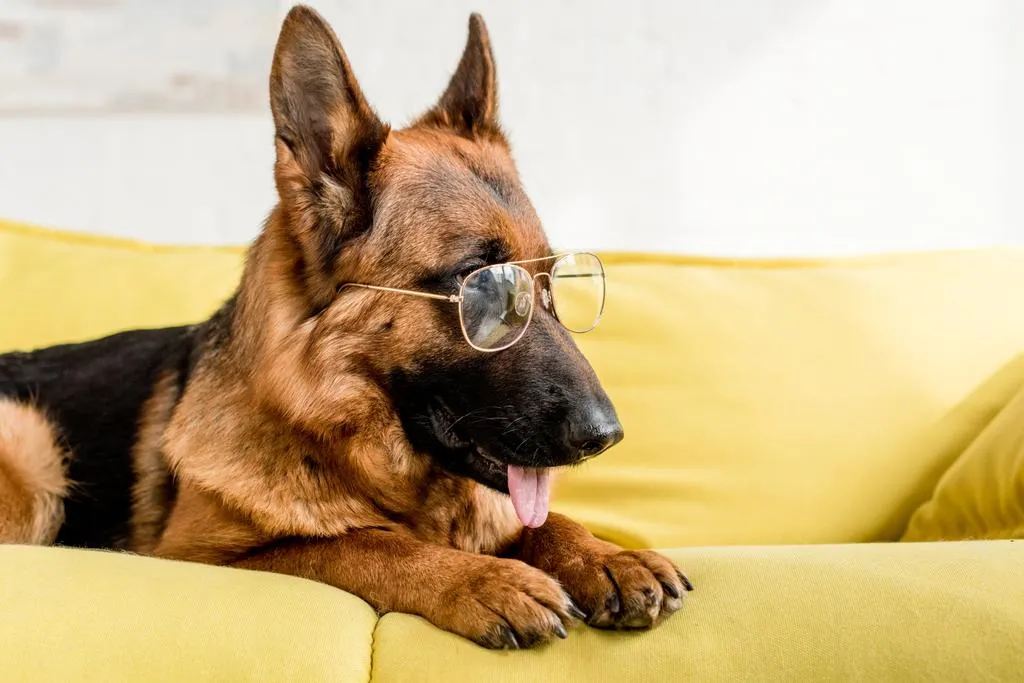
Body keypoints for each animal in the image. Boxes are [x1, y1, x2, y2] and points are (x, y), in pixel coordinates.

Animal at [0, 5, 692, 651]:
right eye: (483, 285)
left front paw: (604, 554)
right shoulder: (206, 558)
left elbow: (544, 521)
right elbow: (363, 543)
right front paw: (482, 578)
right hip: (32, 447)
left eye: (552, 283)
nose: (606, 437)